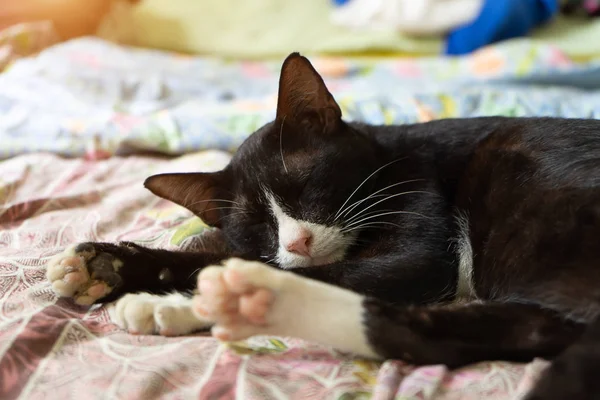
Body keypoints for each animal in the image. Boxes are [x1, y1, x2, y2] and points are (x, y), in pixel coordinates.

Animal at [47, 54, 600, 400]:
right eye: (258, 224)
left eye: (306, 187)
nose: (298, 240)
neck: (389, 158)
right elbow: (219, 254)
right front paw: (105, 265)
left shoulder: (421, 228)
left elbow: (339, 270)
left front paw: (172, 297)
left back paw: (232, 301)